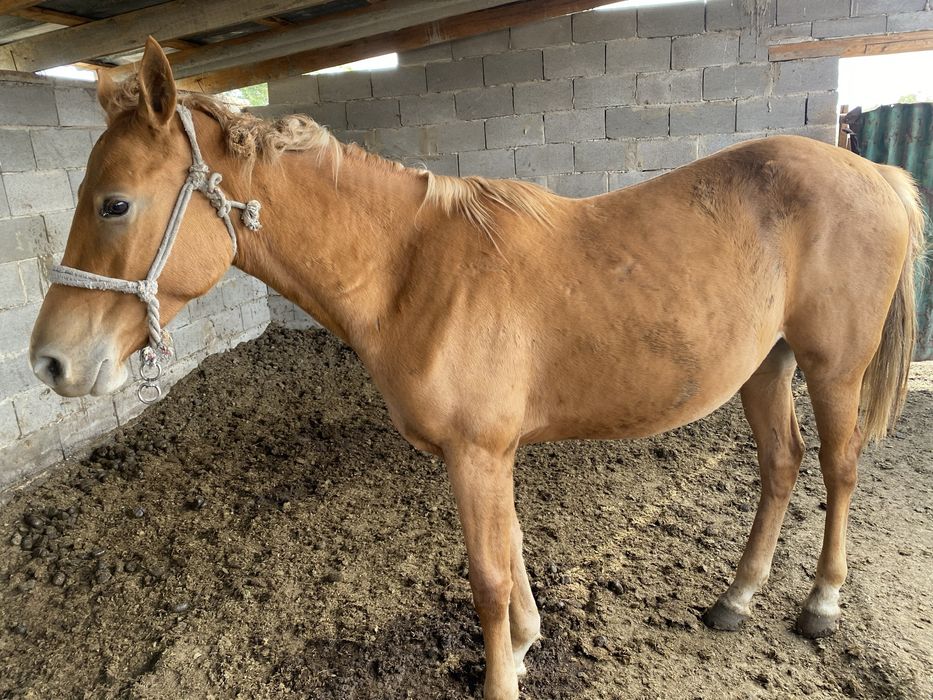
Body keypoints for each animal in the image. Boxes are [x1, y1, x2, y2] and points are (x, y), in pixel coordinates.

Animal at [29, 39, 924, 700]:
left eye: (115, 202)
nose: (50, 361)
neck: (411, 270)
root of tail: (874, 172)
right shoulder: (494, 456)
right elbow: (515, 549)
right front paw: (526, 645)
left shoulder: (475, 454)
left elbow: (488, 577)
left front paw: (503, 674)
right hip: (765, 367)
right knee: (781, 466)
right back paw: (735, 599)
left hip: (830, 367)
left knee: (838, 469)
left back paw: (819, 605)